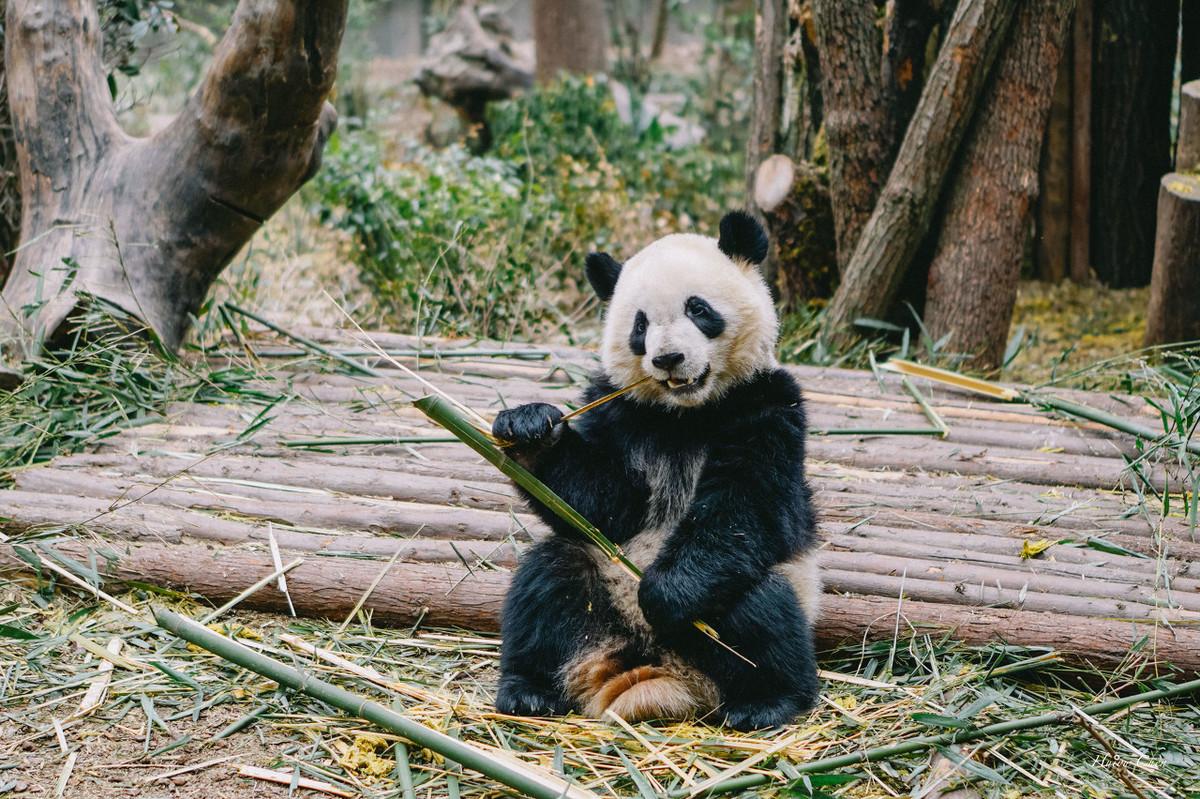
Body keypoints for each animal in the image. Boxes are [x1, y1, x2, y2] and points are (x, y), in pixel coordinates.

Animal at [492, 206, 820, 729]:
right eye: (640, 326)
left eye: (698, 309)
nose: (668, 358)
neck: (685, 413)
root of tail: (665, 672)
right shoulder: (620, 412)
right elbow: (604, 501)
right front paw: (528, 428)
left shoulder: (768, 405)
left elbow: (746, 505)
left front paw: (664, 594)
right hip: (596, 588)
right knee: (545, 581)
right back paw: (529, 692)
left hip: (755, 597)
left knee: (762, 614)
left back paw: (767, 702)